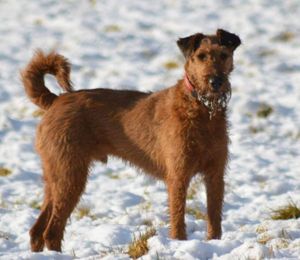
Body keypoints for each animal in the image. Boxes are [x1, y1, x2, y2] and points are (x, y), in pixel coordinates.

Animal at [21, 28, 240, 252]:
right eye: (201, 56)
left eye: (224, 55)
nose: (215, 82)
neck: (202, 109)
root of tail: (56, 100)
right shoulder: (178, 176)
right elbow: (178, 218)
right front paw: (179, 244)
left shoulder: (215, 175)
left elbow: (214, 217)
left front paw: (215, 244)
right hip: (70, 176)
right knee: (51, 231)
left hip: (55, 176)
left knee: (37, 230)